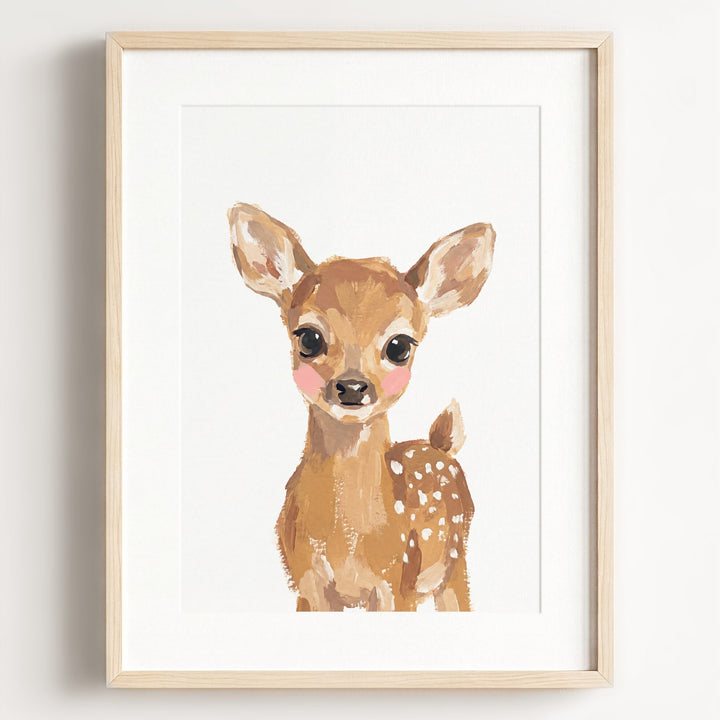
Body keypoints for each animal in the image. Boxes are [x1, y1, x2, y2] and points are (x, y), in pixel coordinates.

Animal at [228, 203, 495, 611]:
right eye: (308, 337)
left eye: (400, 345)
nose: (352, 387)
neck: (348, 540)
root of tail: (440, 445)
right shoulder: (307, 585)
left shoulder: (396, 583)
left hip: (454, 563)